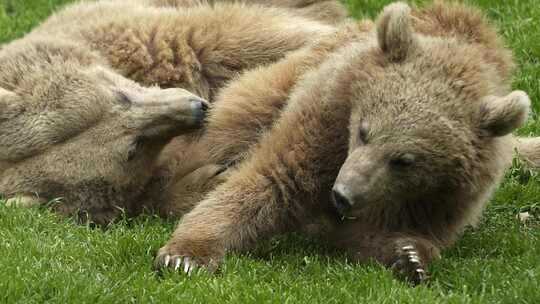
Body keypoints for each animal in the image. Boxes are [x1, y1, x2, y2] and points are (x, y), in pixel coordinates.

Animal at [156, 1, 540, 284]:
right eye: (364, 131)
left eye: (404, 160)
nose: (342, 195)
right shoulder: (325, 120)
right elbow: (273, 180)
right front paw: (186, 255)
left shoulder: (442, 198)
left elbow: (374, 234)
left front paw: (409, 256)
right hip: (266, 86)